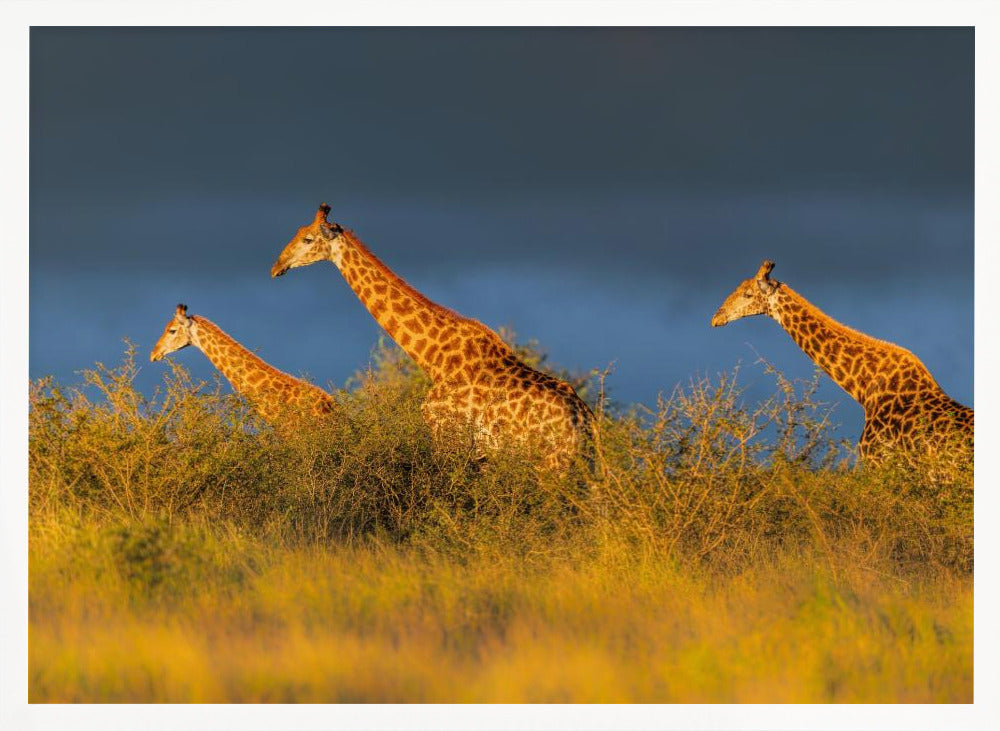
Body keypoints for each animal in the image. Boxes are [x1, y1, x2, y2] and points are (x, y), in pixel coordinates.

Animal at [269, 203, 594, 472]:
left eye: (308, 239)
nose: (276, 267)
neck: (434, 358)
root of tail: (585, 423)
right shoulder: (480, 454)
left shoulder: (446, 437)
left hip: (551, 464)